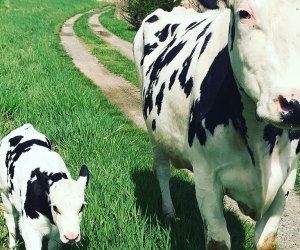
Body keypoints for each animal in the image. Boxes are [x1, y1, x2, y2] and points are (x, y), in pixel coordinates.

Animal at [134, 0, 300, 249]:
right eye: (244, 13)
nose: (294, 104)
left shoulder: (286, 182)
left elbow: (267, 240)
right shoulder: (206, 177)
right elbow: (218, 241)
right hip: (154, 131)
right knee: (162, 170)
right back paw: (169, 212)